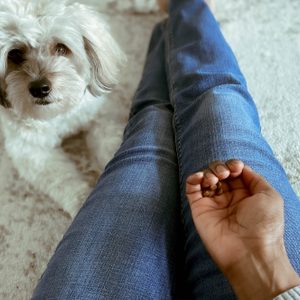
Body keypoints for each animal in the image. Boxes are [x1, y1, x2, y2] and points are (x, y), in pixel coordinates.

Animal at [0, 0, 125, 216]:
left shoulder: (98, 117)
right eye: (14, 53)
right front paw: (82, 202)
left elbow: (110, 142)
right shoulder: (32, 151)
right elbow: (62, 180)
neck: (57, 116)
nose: (39, 88)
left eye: (61, 48)